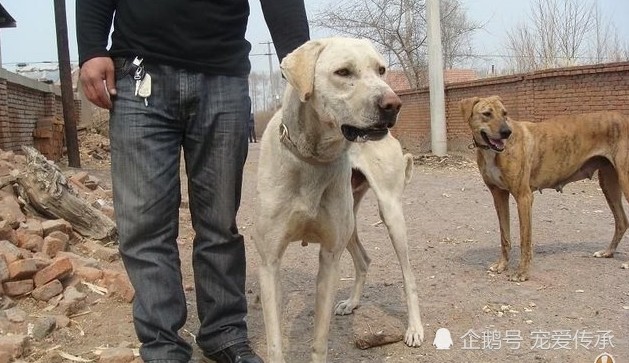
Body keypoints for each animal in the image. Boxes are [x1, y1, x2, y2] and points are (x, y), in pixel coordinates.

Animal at [253, 37, 424, 363]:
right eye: (343, 72)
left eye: (381, 70)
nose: (393, 104)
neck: (312, 157)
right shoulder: (269, 262)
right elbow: (274, 343)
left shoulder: (330, 257)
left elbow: (320, 339)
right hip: (351, 220)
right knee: (364, 259)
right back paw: (352, 303)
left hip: (390, 213)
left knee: (409, 275)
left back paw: (414, 328)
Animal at [456, 96, 628, 282]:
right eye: (487, 114)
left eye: (505, 113)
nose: (506, 132)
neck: (492, 153)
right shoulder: (498, 195)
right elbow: (504, 236)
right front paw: (502, 265)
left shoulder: (524, 197)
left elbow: (525, 239)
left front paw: (522, 273)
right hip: (608, 184)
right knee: (622, 221)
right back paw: (607, 252)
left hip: (624, 181)